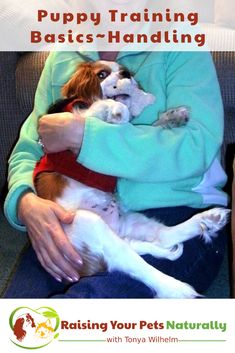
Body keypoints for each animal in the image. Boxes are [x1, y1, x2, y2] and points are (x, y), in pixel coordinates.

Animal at [35, 61, 229, 296]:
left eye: (123, 69)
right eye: (102, 74)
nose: (125, 74)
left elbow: (149, 127)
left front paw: (172, 117)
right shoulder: (82, 116)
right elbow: (103, 110)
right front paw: (116, 110)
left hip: (133, 220)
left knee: (162, 236)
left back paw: (209, 219)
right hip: (88, 223)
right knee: (134, 262)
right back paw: (178, 290)